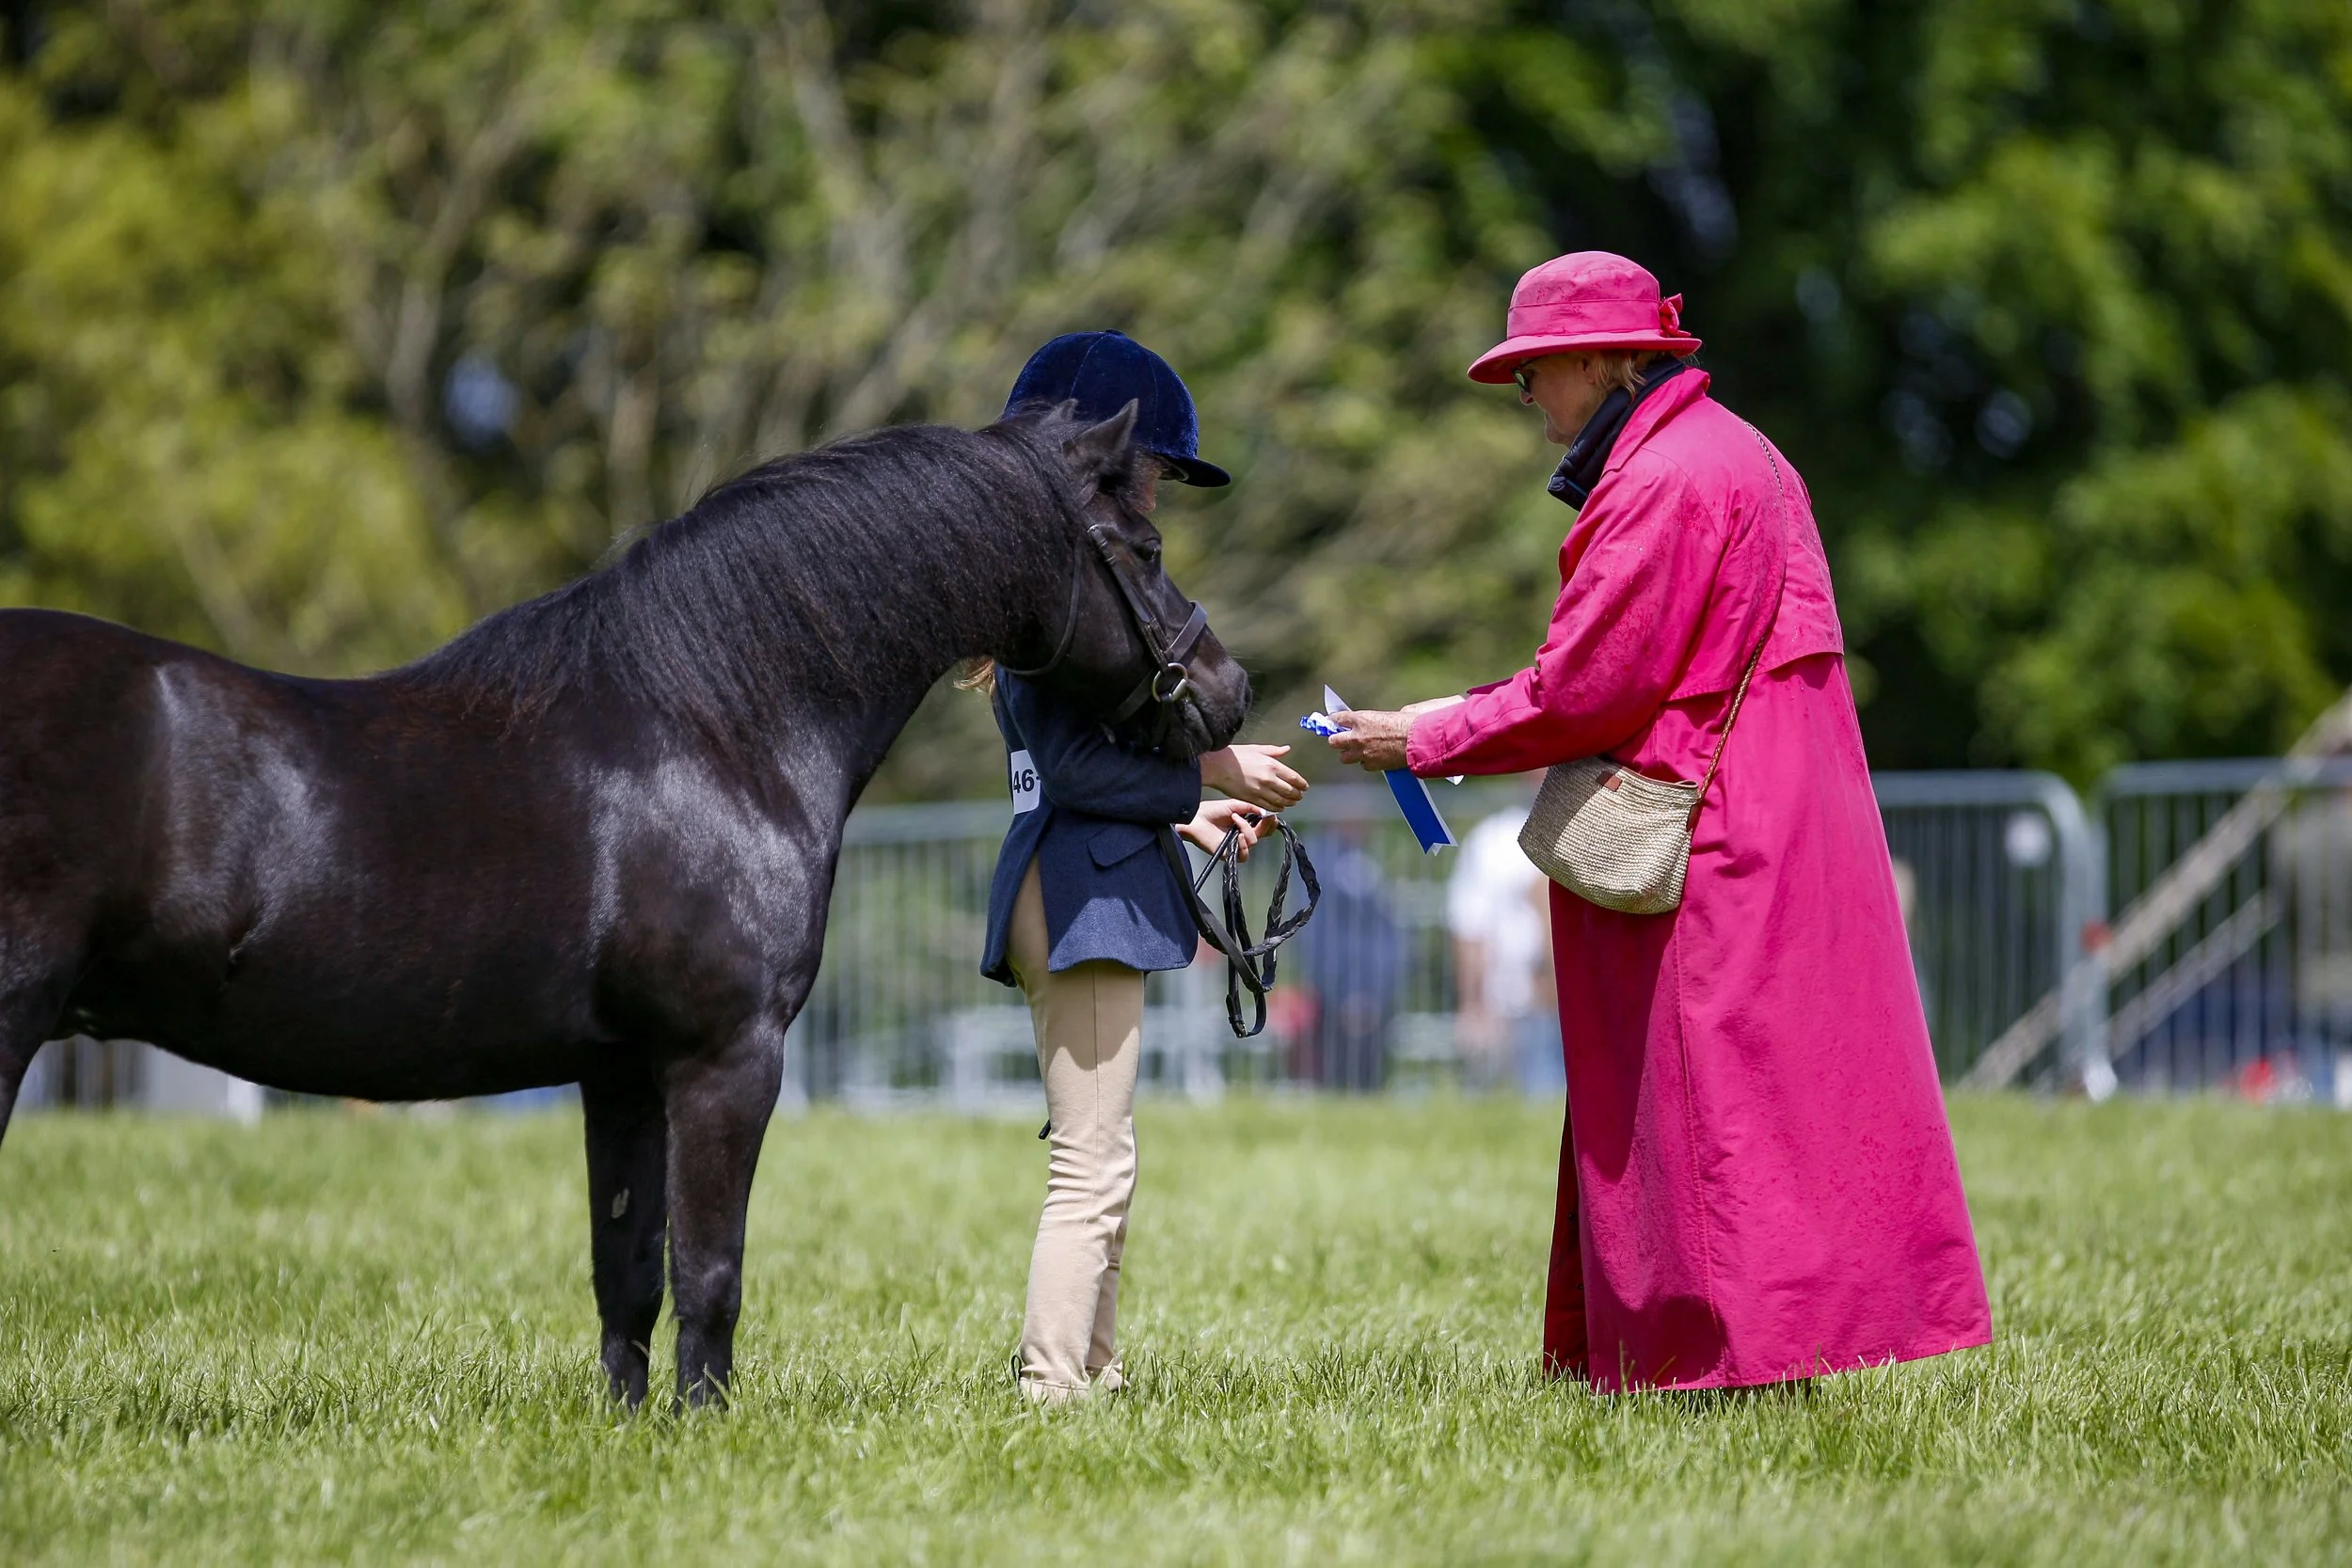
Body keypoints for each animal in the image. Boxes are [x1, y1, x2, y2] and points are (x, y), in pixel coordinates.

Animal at [0, 402, 1248, 1407]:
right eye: (1142, 546)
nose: (1229, 690)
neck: (711, 725)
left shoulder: (620, 1072)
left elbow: (628, 1272)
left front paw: (635, 1431)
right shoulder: (724, 1056)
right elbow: (709, 1266)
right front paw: (708, 1428)